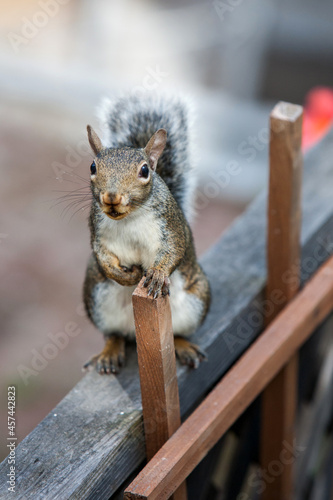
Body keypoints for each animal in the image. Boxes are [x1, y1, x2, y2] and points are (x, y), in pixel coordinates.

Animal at [81, 94, 209, 376]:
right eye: (93, 166)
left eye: (144, 171)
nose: (111, 197)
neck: (128, 218)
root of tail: (135, 331)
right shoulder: (97, 232)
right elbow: (102, 256)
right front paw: (125, 276)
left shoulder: (172, 225)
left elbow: (174, 249)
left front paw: (158, 274)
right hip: (95, 296)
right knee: (114, 334)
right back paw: (109, 353)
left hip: (198, 298)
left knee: (177, 334)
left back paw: (183, 346)